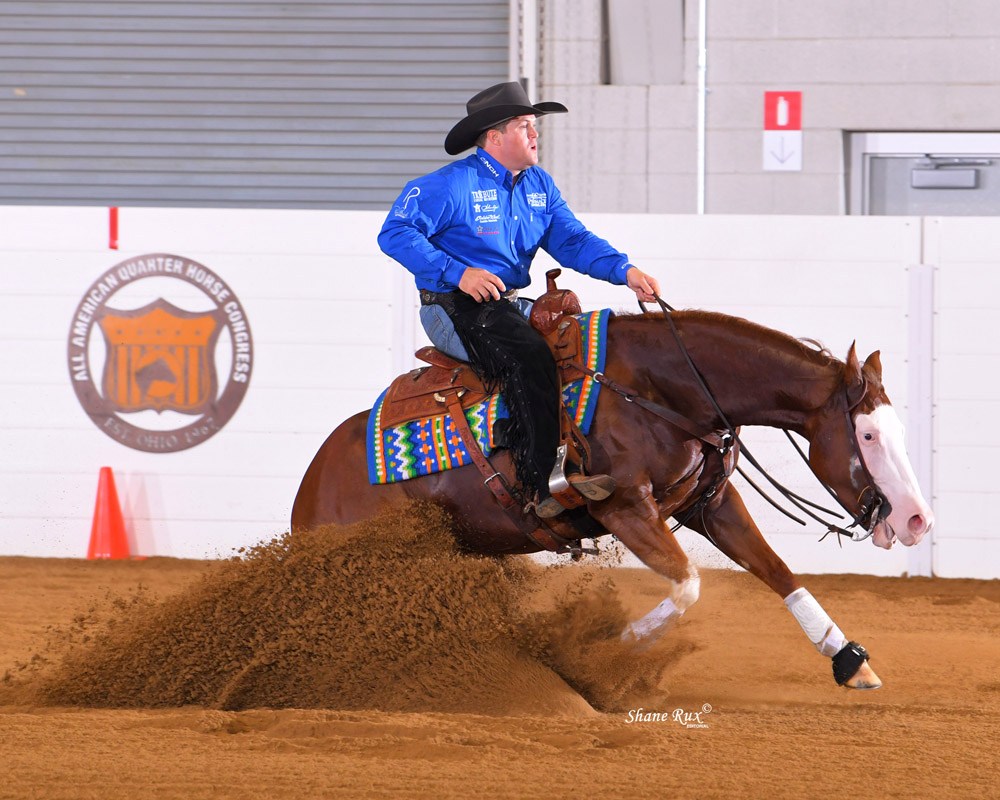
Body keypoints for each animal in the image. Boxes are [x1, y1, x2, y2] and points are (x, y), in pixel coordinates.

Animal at [292, 309, 934, 690]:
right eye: (868, 436)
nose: (916, 520)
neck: (660, 390)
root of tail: (313, 484)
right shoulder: (624, 508)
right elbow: (687, 584)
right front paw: (597, 656)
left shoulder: (709, 505)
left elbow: (777, 571)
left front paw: (847, 658)